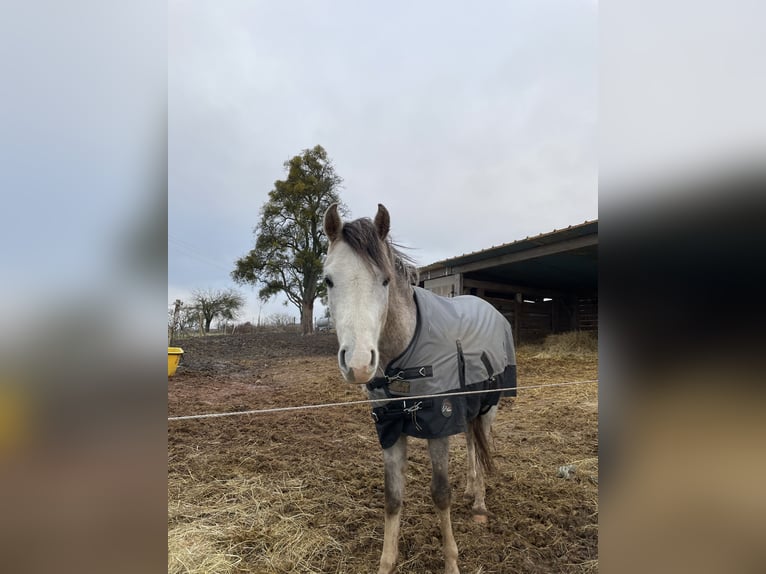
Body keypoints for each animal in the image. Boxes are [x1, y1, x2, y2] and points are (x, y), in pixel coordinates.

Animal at [320, 205, 520, 572]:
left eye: (385, 280)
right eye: (328, 279)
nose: (358, 363)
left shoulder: (439, 425)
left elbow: (440, 494)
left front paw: (452, 562)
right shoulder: (390, 429)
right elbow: (393, 497)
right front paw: (386, 563)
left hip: (489, 406)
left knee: (482, 444)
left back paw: (479, 503)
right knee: (472, 443)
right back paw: (470, 489)